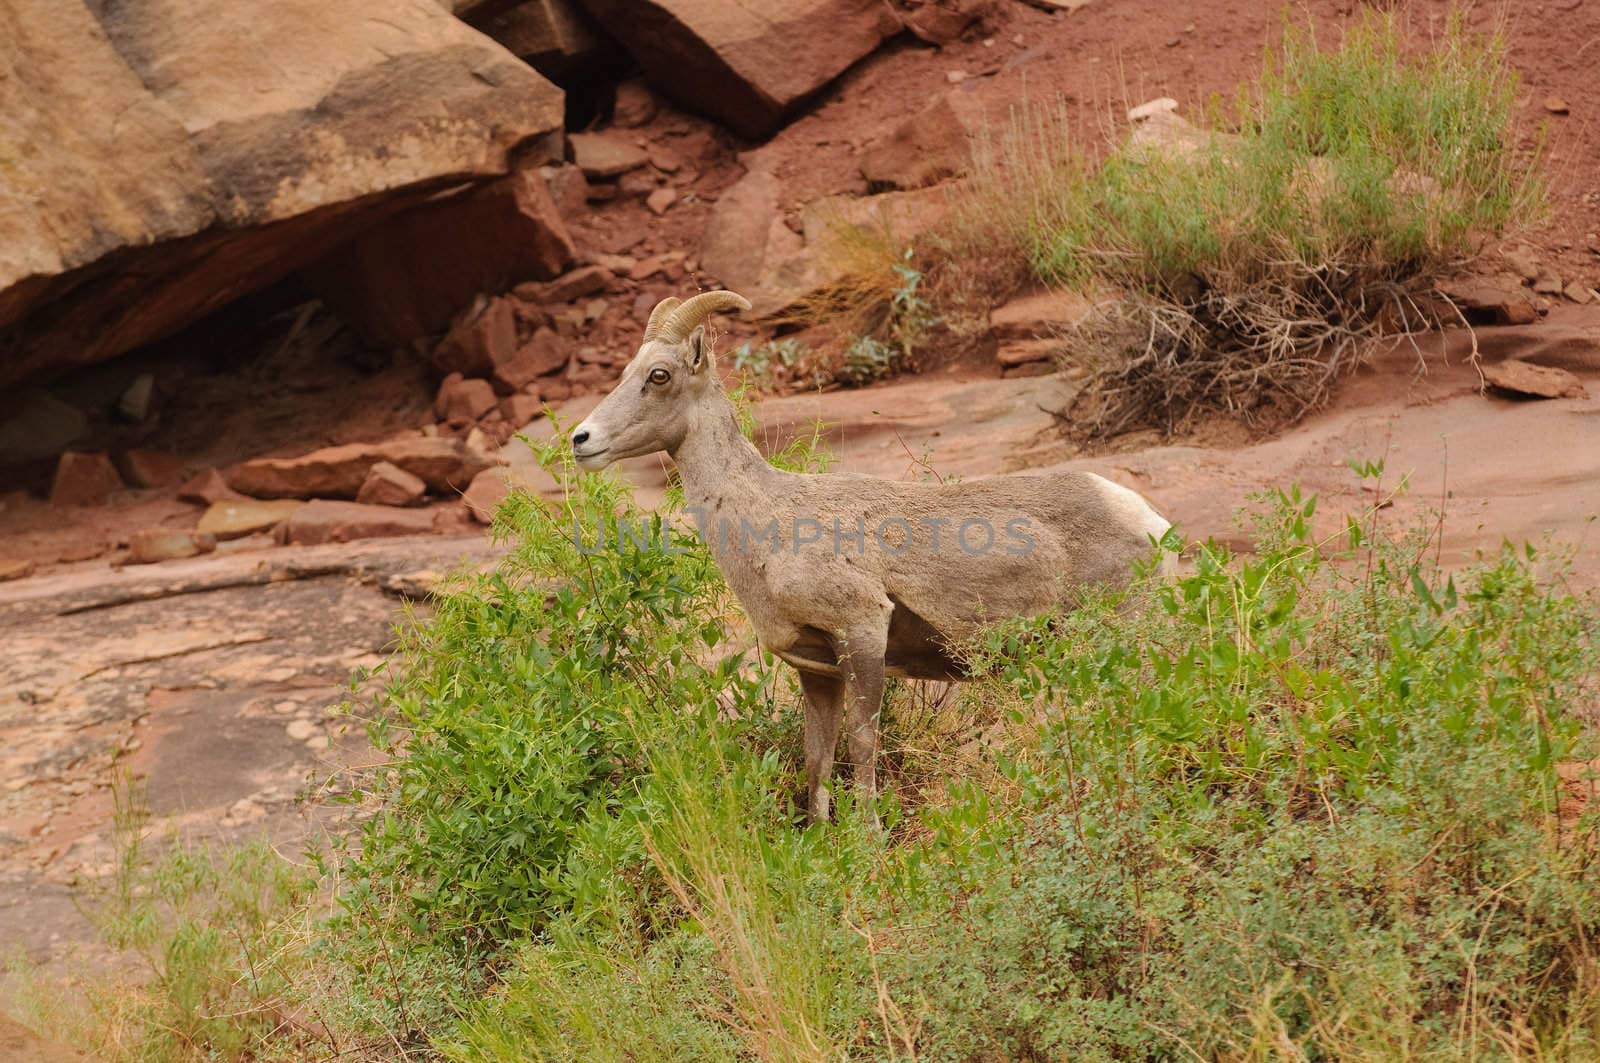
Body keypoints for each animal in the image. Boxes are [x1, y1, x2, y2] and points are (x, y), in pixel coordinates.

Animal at [569, 291, 1171, 819]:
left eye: (659, 375)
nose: (581, 439)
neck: (770, 526)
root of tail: (1150, 523)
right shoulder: (816, 672)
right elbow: (818, 760)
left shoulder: (862, 631)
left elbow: (862, 746)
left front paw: (870, 836)